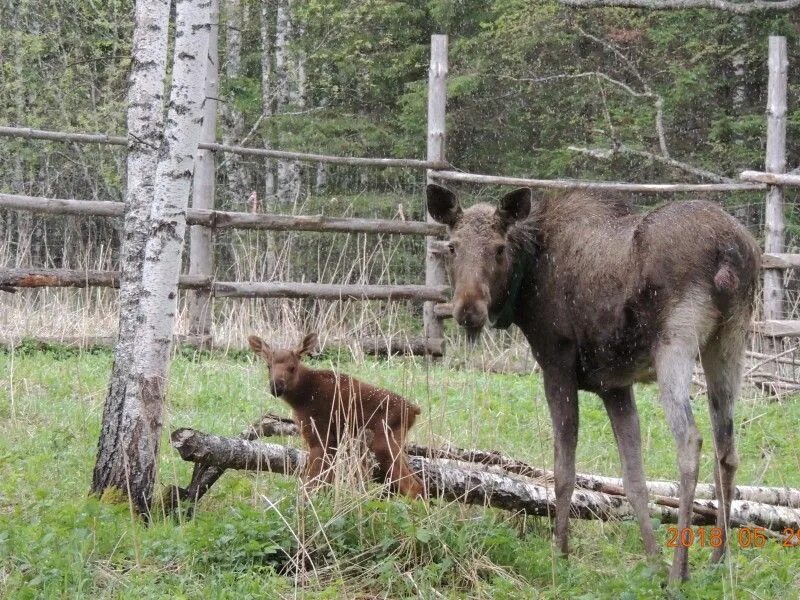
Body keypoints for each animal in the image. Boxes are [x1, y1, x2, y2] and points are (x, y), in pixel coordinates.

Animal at [248, 332, 424, 496]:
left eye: (292, 367)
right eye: (268, 366)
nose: (276, 386)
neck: (302, 397)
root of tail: (414, 410)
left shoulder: (321, 436)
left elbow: (312, 482)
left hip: (384, 440)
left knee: (413, 487)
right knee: (419, 483)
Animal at [428, 185, 760, 584]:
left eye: (499, 248)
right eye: (452, 246)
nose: (468, 310)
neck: (527, 283)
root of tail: (732, 249)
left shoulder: (556, 364)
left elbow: (563, 471)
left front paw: (560, 554)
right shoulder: (614, 386)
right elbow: (634, 480)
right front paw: (653, 560)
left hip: (676, 341)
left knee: (691, 441)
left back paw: (680, 572)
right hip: (730, 340)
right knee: (727, 449)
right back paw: (716, 562)